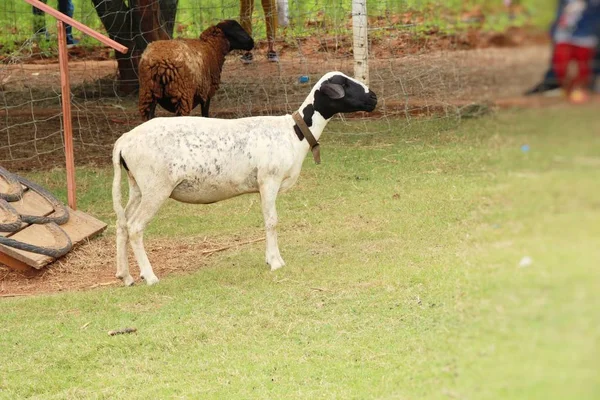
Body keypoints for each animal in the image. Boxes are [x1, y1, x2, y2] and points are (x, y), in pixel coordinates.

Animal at [111, 71, 376, 284]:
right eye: (345, 84)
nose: (373, 98)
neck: (295, 133)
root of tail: (123, 142)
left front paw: (270, 259)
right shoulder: (269, 180)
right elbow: (272, 221)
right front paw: (276, 262)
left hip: (138, 186)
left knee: (122, 223)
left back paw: (125, 276)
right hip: (156, 186)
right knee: (135, 227)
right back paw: (150, 277)